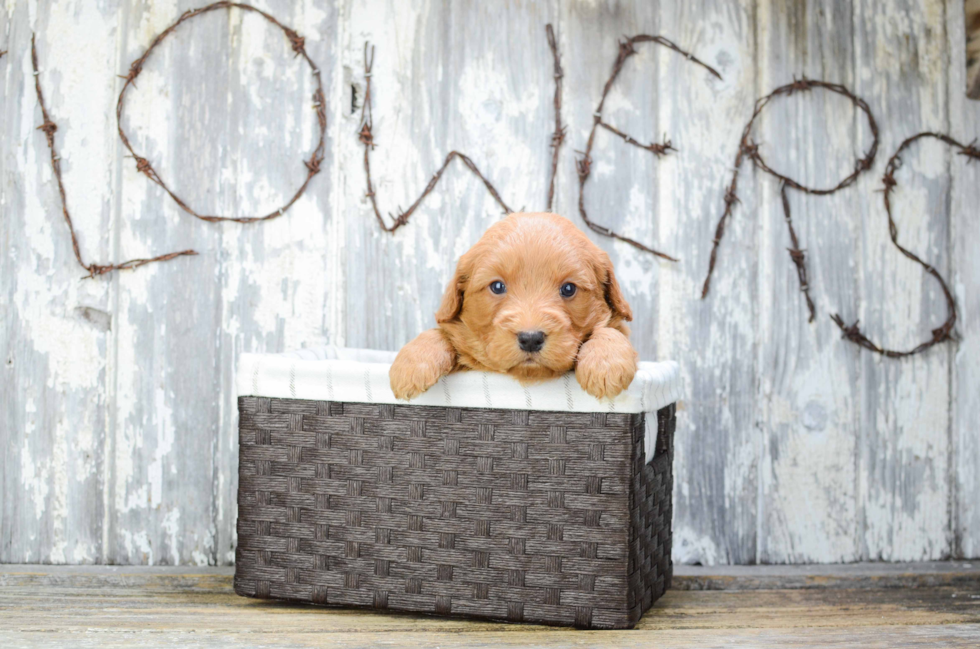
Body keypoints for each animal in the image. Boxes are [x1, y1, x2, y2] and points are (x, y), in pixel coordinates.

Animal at [386, 210, 640, 400]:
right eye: (497, 287)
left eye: (569, 289)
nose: (530, 339)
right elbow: (439, 333)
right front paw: (410, 365)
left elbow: (609, 331)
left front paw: (605, 363)